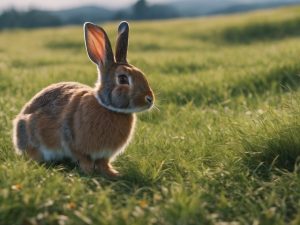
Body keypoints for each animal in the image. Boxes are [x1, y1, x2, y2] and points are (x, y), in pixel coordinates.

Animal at [12, 21, 155, 178]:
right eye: (123, 79)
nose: (149, 99)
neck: (108, 107)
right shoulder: (74, 143)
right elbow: (84, 160)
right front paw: (89, 173)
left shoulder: (104, 155)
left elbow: (104, 163)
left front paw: (114, 174)